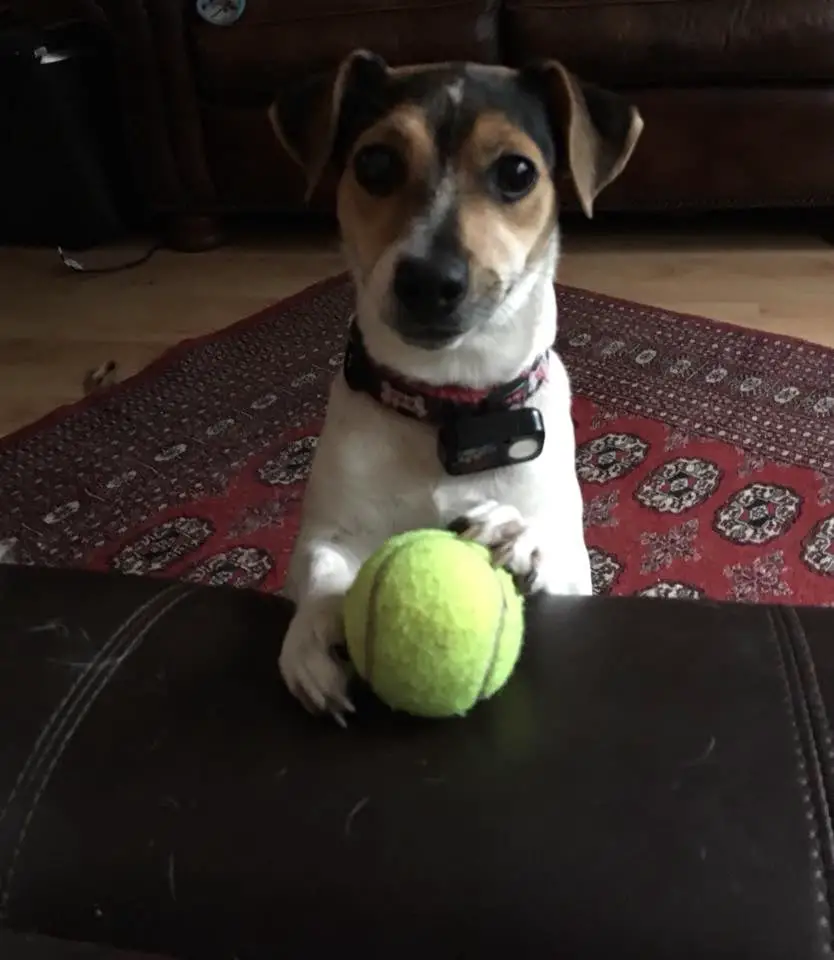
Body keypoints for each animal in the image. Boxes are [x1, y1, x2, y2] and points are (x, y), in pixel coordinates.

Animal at [270, 48, 640, 716]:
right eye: (375, 162)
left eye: (517, 171)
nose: (427, 280)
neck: (451, 405)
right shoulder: (325, 530)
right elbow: (318, 566)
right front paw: (313, 631)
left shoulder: (576, 567)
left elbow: (556, 559)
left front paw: (518, 537)